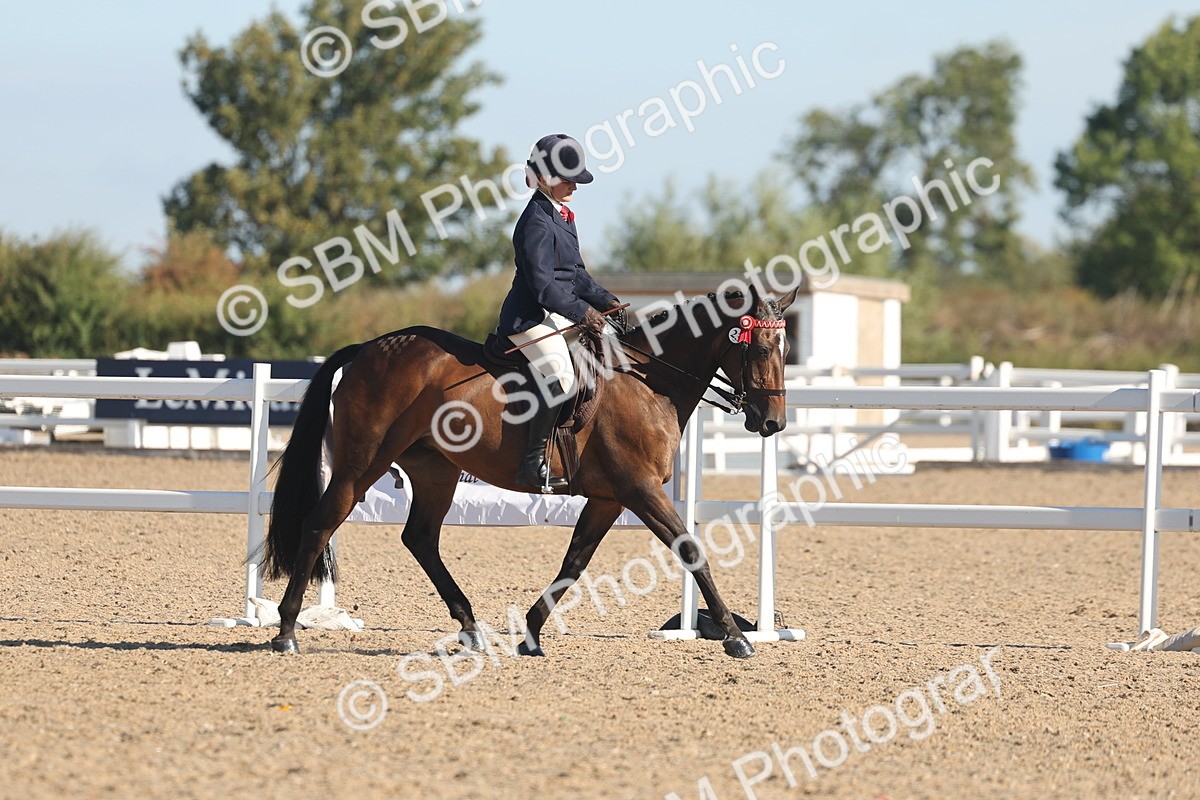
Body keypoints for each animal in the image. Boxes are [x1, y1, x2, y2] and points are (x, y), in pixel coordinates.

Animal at [262, 286, 797, 659]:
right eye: (758, 349)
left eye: (785, 350)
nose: (772, 423)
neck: (647, 384)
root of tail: (368, 348)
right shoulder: (640, 490)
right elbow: (692, 552)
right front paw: (735, 638)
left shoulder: (609, 498)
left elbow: (573, 564)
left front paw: (531, 635)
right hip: (361, 464)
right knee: (320, 523)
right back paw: (286, 631)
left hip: (435, 470)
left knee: (420, 539)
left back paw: (471, 629)